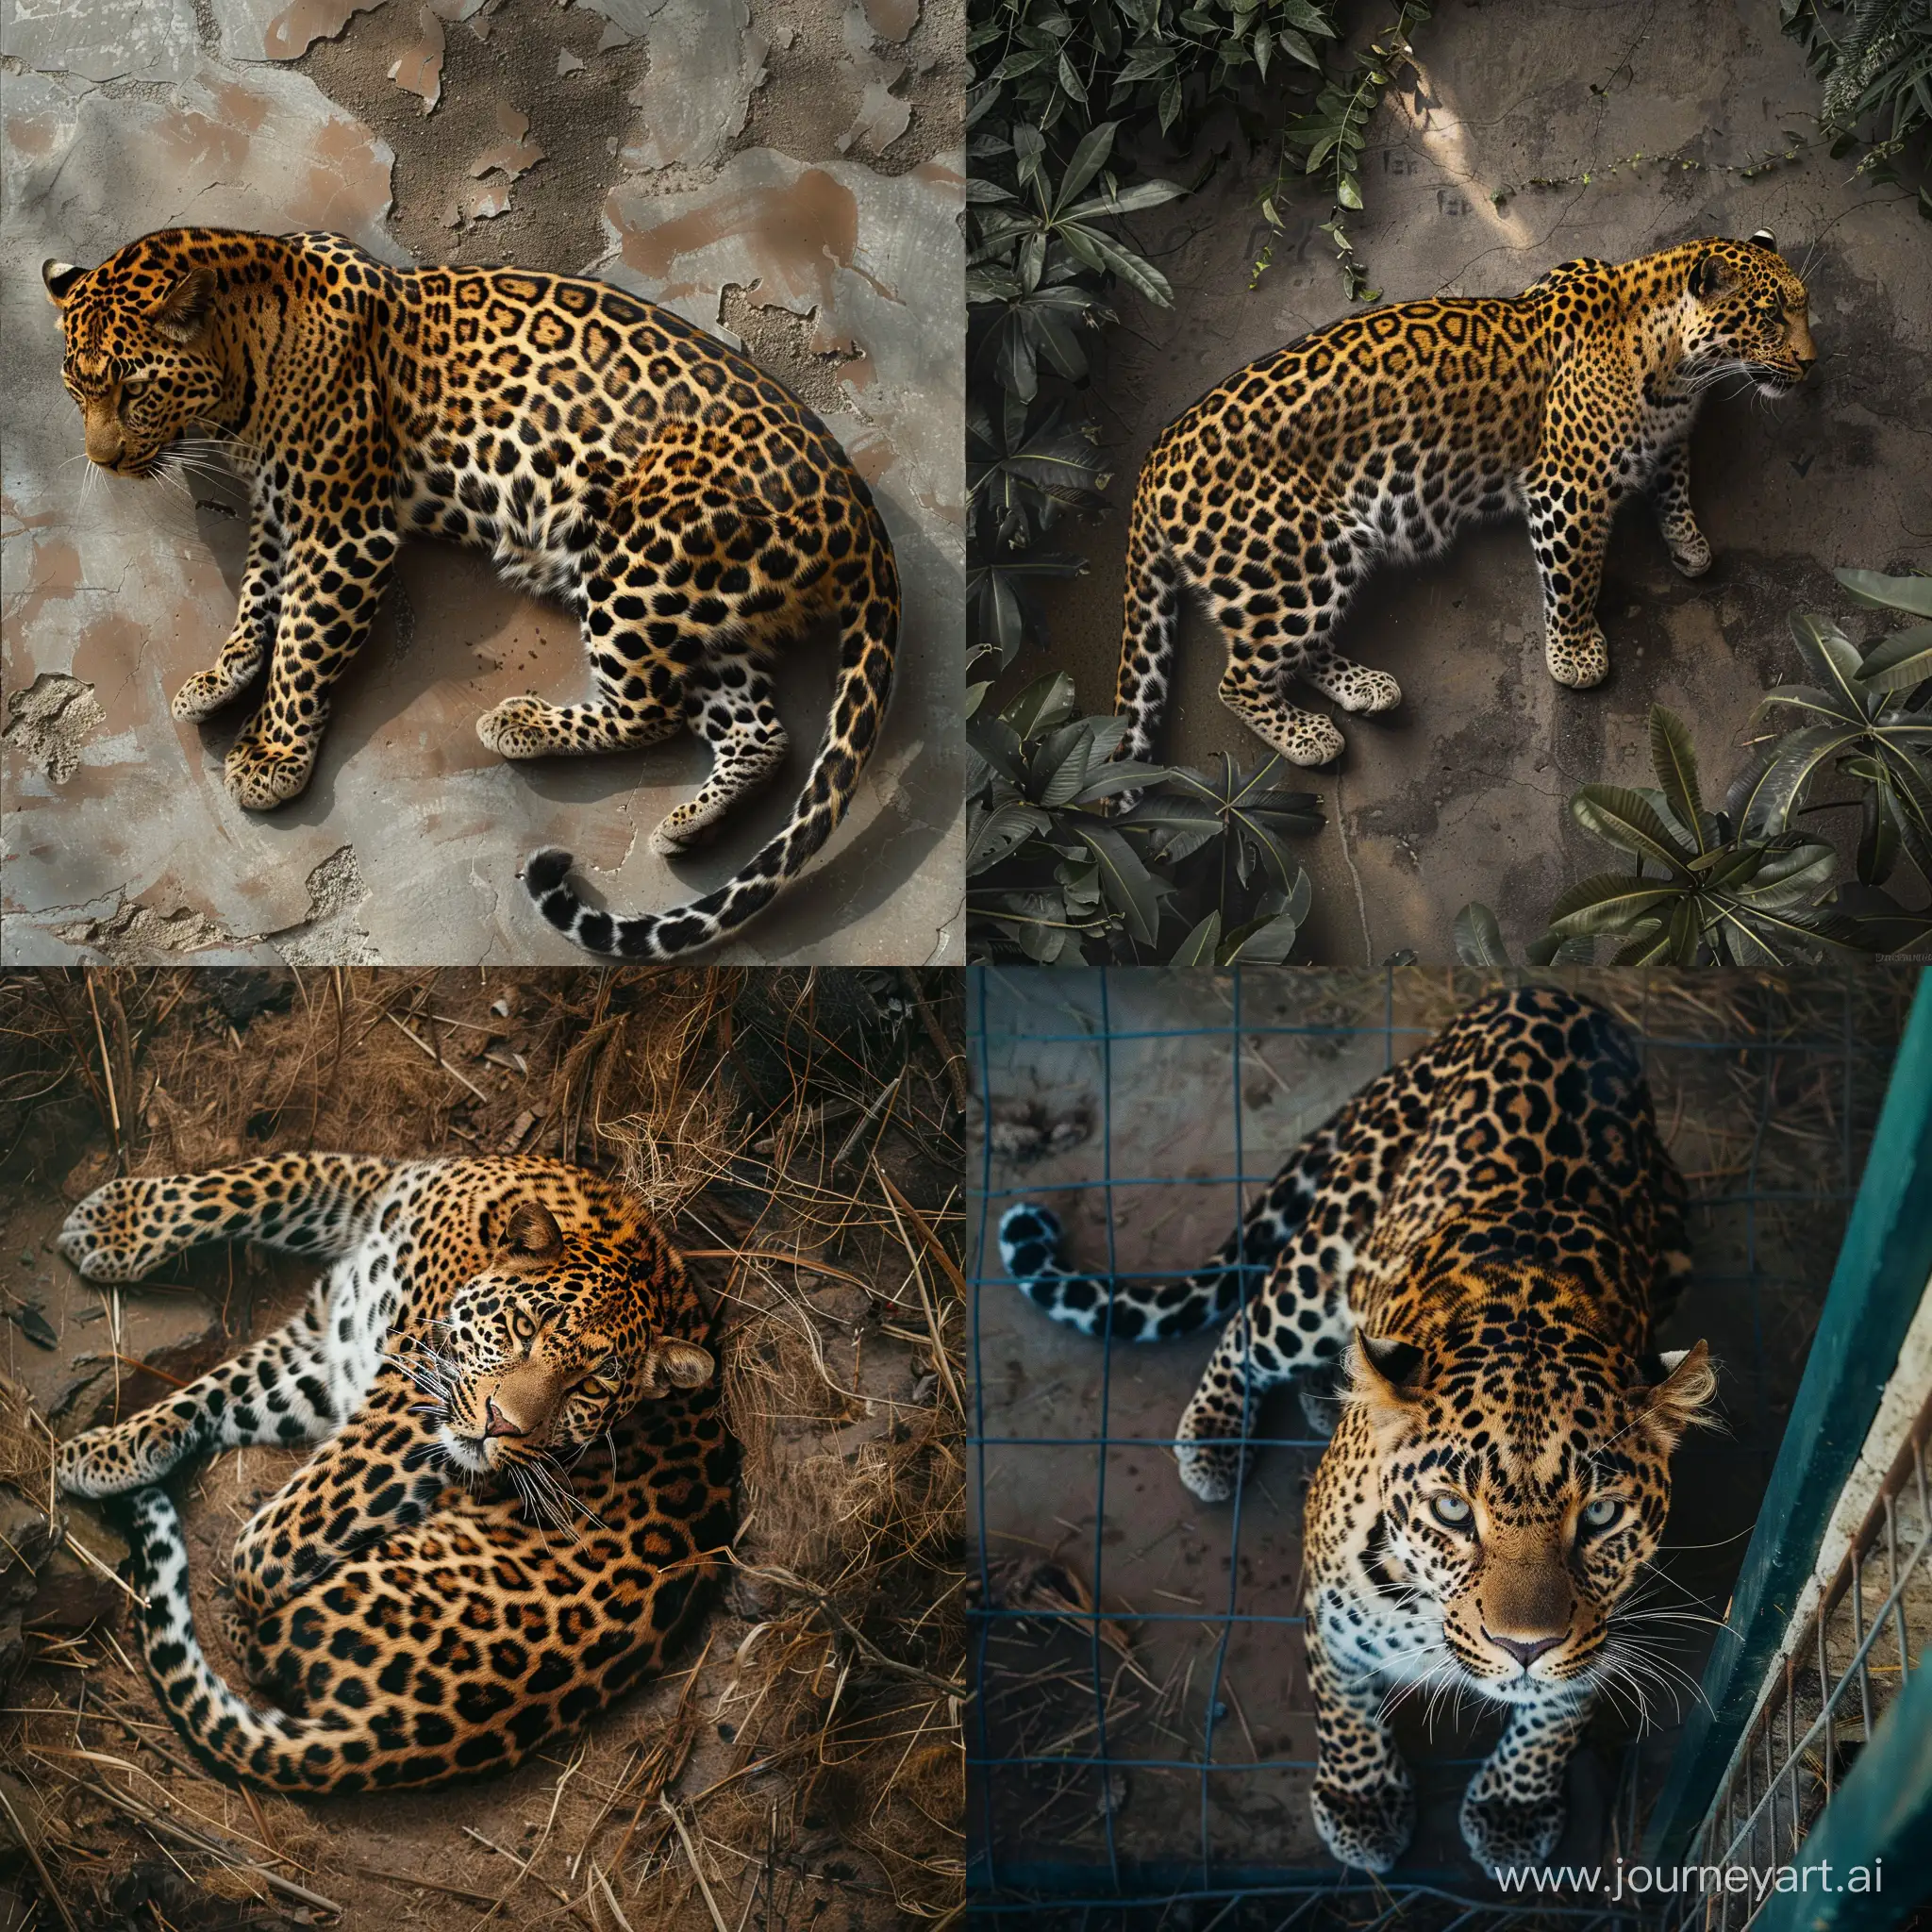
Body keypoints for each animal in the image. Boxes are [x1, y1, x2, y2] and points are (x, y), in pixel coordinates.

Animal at [37, 229, 896, 954]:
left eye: (133, 390)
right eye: (76, 386)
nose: (102, 460)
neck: (247, 351)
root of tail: (857, 509)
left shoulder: (341, 527)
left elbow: (304, 640)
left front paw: (273, 753)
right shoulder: (284, 508)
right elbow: (257, 595)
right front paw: (222, 677)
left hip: (636, 554)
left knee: (653, 706)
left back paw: (520, 726)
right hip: (702, 605)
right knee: (760, 731)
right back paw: (689, 824)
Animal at [55, 1143, 730, 1792]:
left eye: (590, 1387)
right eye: (523, 1327)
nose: (503, 1425)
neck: (469, 1250)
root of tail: (393, 1735)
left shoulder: (408, 1404)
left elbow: (276, 1538)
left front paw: (245, 1577)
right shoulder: (343, 1293)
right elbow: (254, 1185)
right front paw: (107, 1446)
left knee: (270, 1646)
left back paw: (237, 1622)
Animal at [1004, 989, 1715, 1877]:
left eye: (1601, 1516)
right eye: (1452, 1512)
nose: (1524, 1646)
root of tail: (1550, 996)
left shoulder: (1601, 1627)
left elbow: (1561, 1711)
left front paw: (1514, 1810)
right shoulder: (1326, 1602)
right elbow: (1342, 1708)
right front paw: (1361, 1804)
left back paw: (1332, 1392)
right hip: (1323, 1261)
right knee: (1247, 1322)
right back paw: (1216, 1434)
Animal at [1112, 231, 1816, 784]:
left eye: (1804, 309)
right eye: (1771, 318)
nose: (1812, 364)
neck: (1675, 365)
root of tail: (1154, 457)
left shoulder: (1664, 435)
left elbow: (1673, 477)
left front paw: (1687, 541)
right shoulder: (1567, 488)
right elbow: (1575, 577)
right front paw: (1575, 658)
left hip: (1310, 565)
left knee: (1293, 652)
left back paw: (1366, 689)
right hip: (1292, 561)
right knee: (1239, 679)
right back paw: (1311, 738)